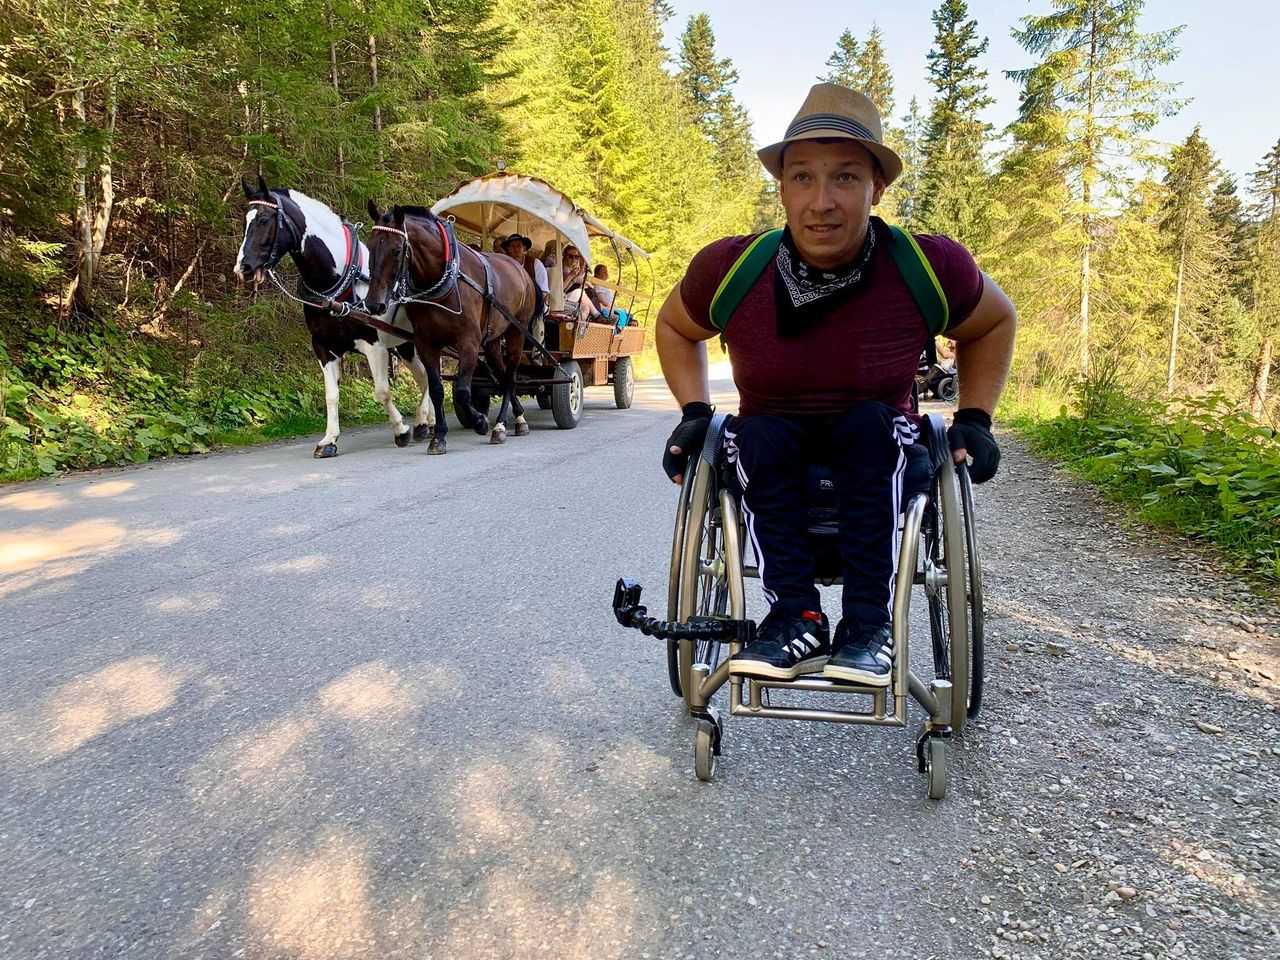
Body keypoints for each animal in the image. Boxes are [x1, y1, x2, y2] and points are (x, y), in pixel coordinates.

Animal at [229, 179, 430, 458]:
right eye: (244, 220)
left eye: (264, 220)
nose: (243, 268)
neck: (338, 281)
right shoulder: (324, 347)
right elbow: (331, 395)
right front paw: (329, 440)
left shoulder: (374, 346)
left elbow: (382, 391)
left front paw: (401, 430)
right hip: (403, 345)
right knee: (424, 377)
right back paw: (427, 422)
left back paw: (423, 421)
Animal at [366, 202, 535, 455]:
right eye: (369, 246)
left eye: (396, 250)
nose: (373, 304)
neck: (442, 276)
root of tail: (520, 269)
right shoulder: (426, 344)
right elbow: (437, 389)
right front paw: (438, 437)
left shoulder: (469, 342)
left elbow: (463, 391)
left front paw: (480, 421)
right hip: (493, 341)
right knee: (503, 376)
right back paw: (517, 418)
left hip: (517, 332)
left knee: (511, 377)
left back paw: (502, 425)